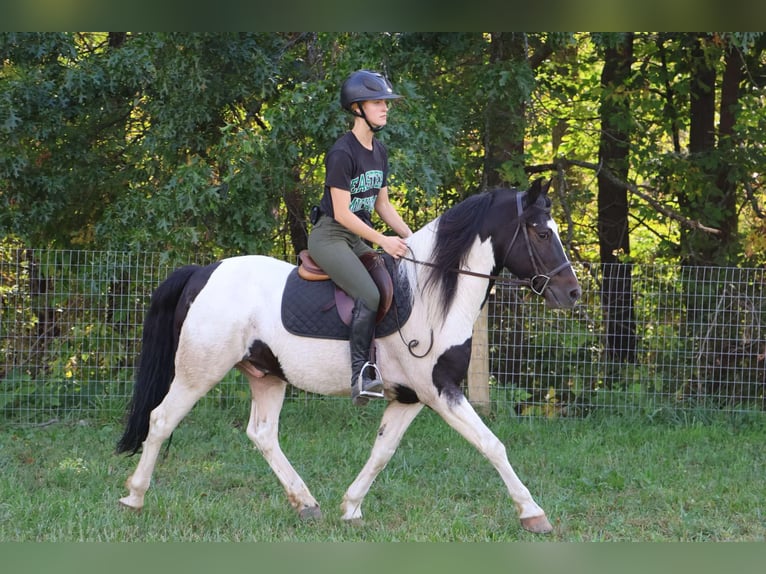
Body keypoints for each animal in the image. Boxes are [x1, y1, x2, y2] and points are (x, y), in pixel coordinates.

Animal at [116, 178, 581, 534]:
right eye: (542, 233)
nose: (572, 293)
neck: (432, 293)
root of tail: (204, 272)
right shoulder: (441, 391)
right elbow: (492, 445)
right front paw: (533, 514)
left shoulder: (412, 398)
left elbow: (382, 451)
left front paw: (351, 507)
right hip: (198, 372)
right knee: (161, 419)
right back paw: (133, 497)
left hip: (267, 374)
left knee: (262, 434)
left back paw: (306, 503)